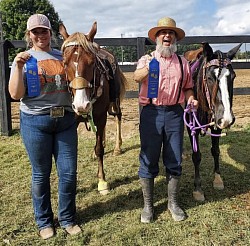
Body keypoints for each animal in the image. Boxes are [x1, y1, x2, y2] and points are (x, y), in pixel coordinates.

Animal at [58, 22, 127, 194]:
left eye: (91, 62)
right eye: (65, 63)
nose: (82, 105)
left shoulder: (101, 115)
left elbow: (99, 150)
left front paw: (102, 181)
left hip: (115, 102)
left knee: (118, 117)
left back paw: (117, 147)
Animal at [185, 41, 241, 200]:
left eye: (233, 76)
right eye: (210, 77)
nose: (227, 118)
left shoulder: (217, 125)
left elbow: (215, 151)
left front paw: (217, 179)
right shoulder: (192, 128)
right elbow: (196, 156)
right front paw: (198, 188)